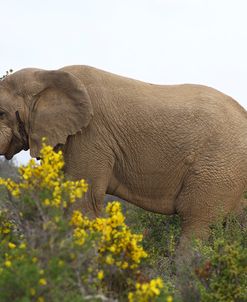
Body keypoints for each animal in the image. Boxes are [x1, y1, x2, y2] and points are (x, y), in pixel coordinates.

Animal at [0, 65, 247, 247]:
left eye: (1, 113)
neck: (46, 74)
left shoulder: (90, 137)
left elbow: (83, 202)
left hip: (217, 168)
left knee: (197, 224)